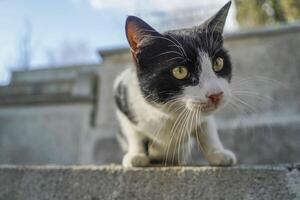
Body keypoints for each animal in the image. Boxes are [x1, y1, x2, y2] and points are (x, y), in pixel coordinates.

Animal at [113, 1, 236, 167]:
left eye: (218, 63)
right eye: (180, 71)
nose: (216, 94)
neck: (172, 114)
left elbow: (207, 128)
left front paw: (218, 153)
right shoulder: (122, 93)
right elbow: (134, 132)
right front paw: (136, 155)